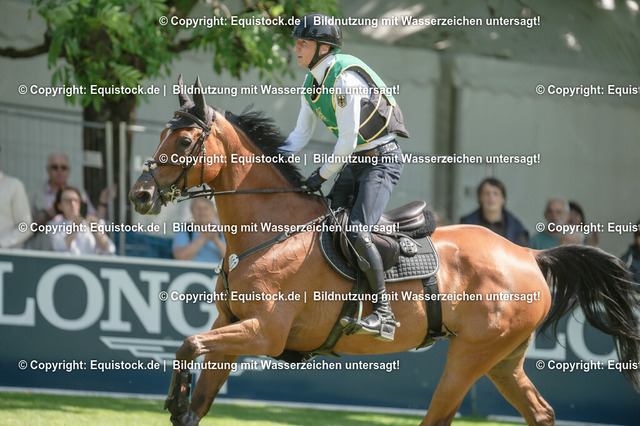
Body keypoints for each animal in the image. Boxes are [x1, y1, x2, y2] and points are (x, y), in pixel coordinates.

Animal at [129, 77, 640, 425]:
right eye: (162, 136)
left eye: (185, 141)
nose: (139, 195)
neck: (270, 234)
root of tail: (529, 255)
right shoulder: (231, 323)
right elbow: (194, 390)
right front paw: (181, 401)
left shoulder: (263, 333)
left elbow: (187, 345)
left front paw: (174, 397)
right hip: (504, 360)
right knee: (541, 413)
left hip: (471, 356)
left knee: (441, 417)